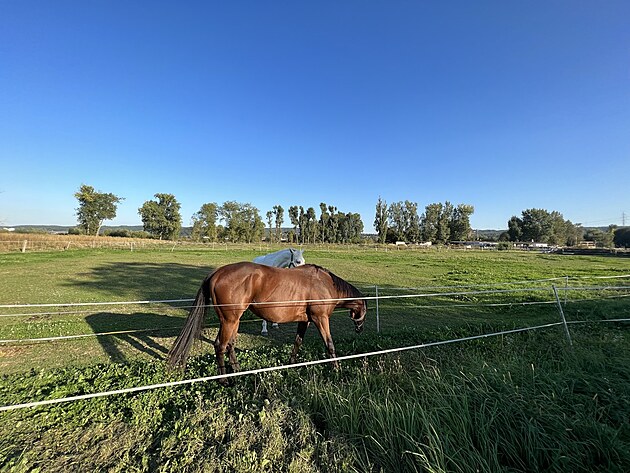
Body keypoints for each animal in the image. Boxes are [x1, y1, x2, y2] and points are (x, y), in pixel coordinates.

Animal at [168, 260, 368, 374]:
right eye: (364, 313)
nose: (360, 329)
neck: (326, 284)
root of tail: (216, 273)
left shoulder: (305, 321)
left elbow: (297, 342)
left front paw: (291, 364)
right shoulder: (321, 319)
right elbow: (330, 345)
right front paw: (336, 369)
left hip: (234, 321)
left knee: (230, 344)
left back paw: (237, 370)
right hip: (229, 321)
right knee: (220, 345)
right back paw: (226, 379)